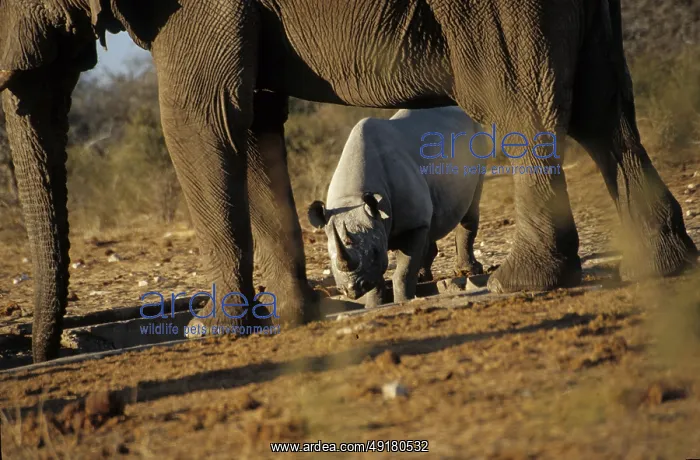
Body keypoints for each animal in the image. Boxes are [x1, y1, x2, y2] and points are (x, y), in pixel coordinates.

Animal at [308, 107, 487, 307]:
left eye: (375, 252)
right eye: (329, 258)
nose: (351, 290)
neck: (351, 197)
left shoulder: (411, 225)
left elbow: (403, 270)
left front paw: (403, 300)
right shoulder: (377, 226)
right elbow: (377, 275)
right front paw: (374, 306)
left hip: (477, 140)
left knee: (471, 207)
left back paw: (469, 271)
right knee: (431, 223)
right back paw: (423, 277)